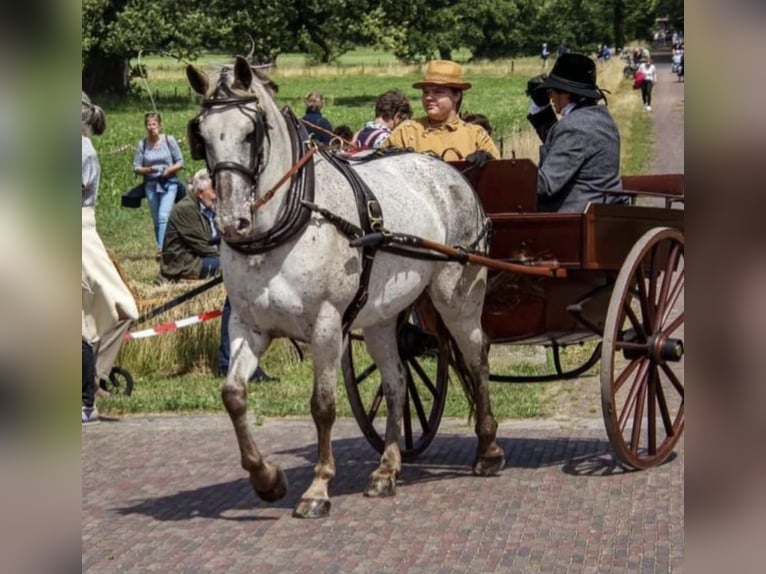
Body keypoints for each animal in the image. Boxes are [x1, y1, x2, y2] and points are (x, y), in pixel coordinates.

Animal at [186, 58, 508, 520]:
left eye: (251, 132)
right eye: (203, 135)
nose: (231, 221)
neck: (286, 223)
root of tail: (450, 171)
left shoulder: (326, 325)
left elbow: (322, 406)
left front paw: (318, 488)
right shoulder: (249, 326)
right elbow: (233, 395)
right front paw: (267, 479)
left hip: (458, 299)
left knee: (477, 359)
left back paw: (488, 449)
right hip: (381, 316)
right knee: (396, 382)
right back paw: (387, 469)